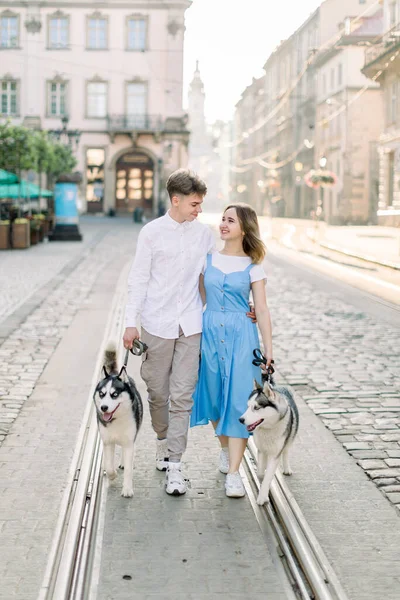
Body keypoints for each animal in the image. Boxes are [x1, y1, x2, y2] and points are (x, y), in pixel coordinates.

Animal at [93, 342, 143, 496]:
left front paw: (127, 489)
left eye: (114, 394)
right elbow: (109, 465)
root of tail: (115, 373)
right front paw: (111, 474)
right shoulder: (108, 441)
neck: (116, 420)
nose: (103, 407)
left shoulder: (129, 441)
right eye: (102, 394)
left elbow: (128, 469)